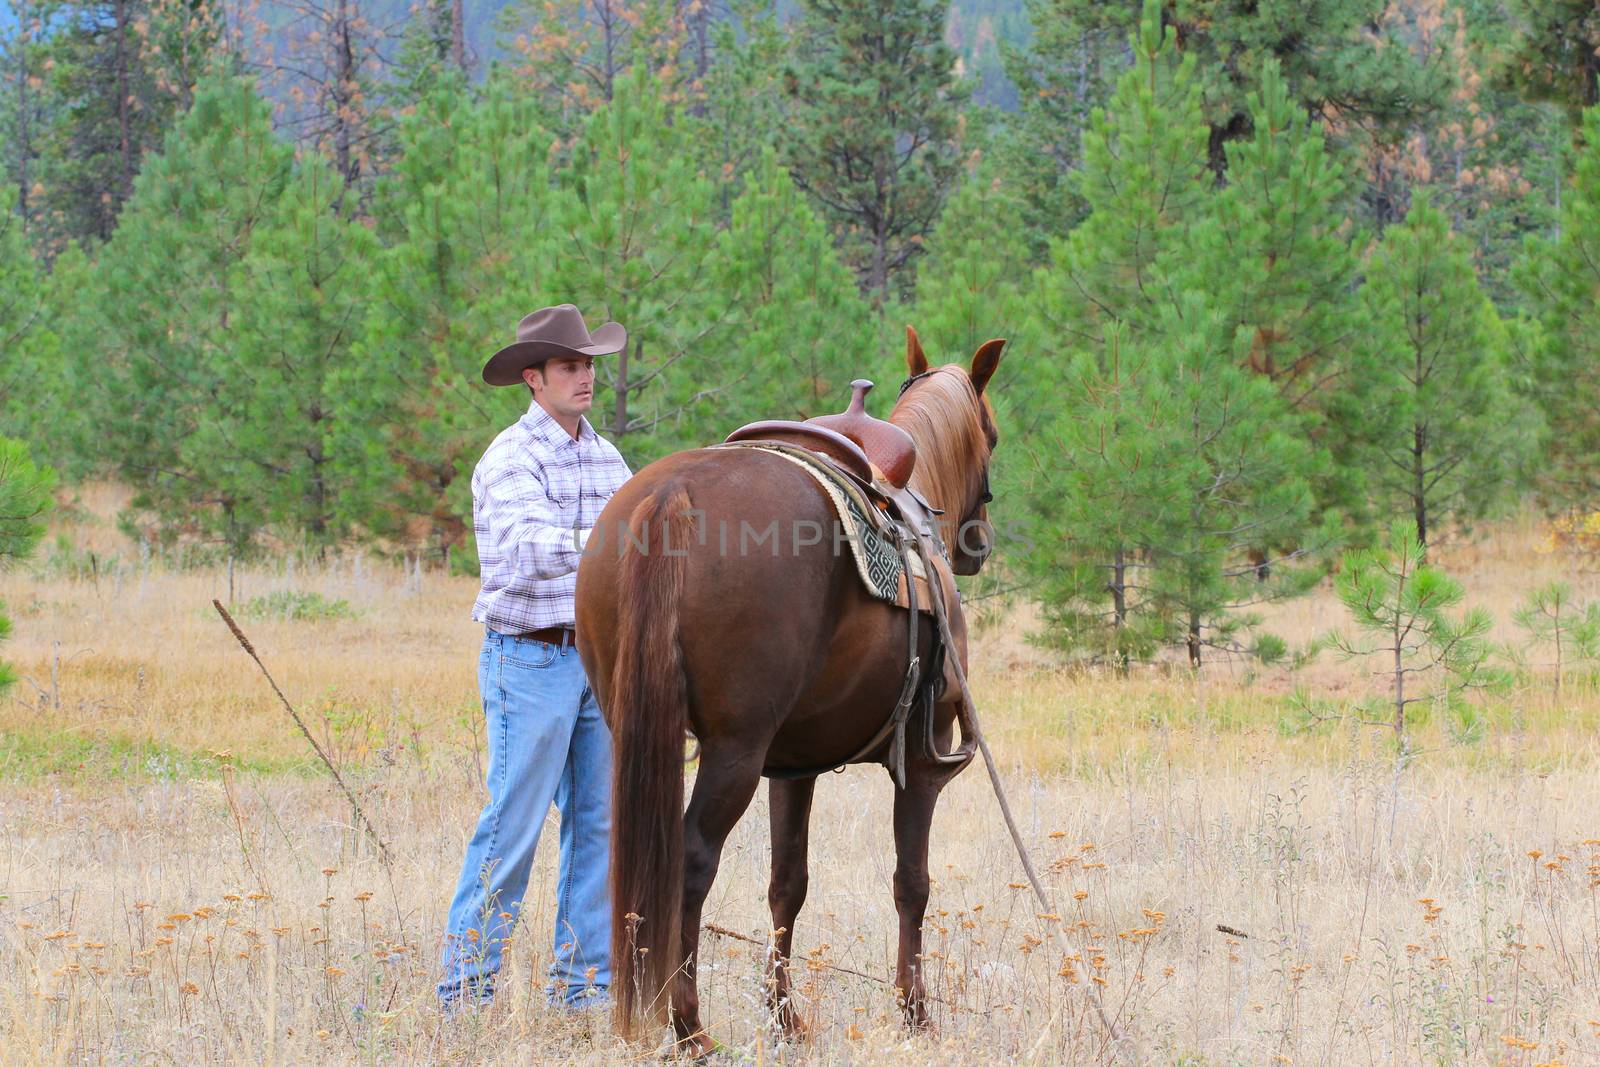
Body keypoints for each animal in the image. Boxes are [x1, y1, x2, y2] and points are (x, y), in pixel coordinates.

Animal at [572, 329, 998, 1055]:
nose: (980, 543)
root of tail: (671, 496)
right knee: (690, 860)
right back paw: (689, 1025)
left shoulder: (792, 768)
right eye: (991, 434)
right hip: (734, 751)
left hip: (638, 728)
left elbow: (786, 885)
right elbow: (912, 882)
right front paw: (915, 1013)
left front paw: (785, 1017)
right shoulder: (921, 761)